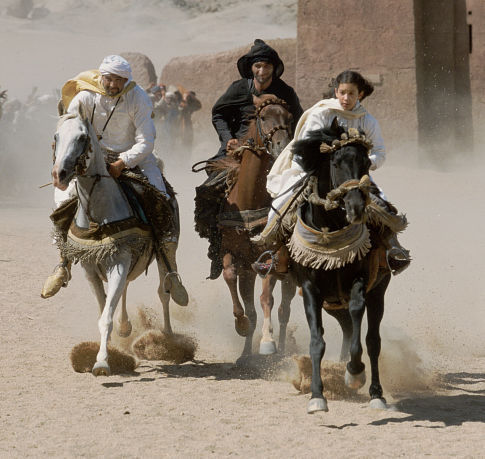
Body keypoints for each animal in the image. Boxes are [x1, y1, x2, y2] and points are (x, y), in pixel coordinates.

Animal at [52, 105, 188, 378]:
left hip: (165, 250)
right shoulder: (92, 268)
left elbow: (106, 316)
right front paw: (110, 351)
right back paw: (126, 327)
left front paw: (103, 363)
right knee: (126, 290)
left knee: (165, 291)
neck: (98, 213)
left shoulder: (120, 261)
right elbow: (104, 308)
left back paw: (168, 340)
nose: (59, 174)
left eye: (82, 137)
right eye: (56, 137)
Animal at [290, 121, 396, 414]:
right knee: (348, 328)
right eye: (336, 163)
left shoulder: (360, 281)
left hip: (378, 291)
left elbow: (360, 321)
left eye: (366, 163)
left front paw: (355, 372)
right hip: (332, 302)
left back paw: (375, 393)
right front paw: (317, 396)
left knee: (372, 339)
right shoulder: (311, 289)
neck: (330, 230)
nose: (356, 207)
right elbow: (317, 341)